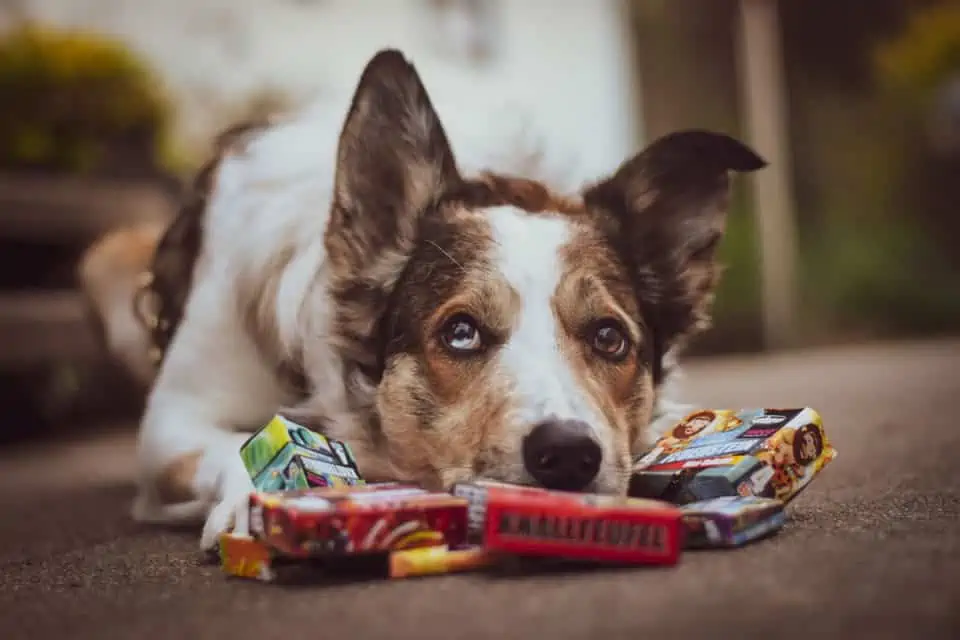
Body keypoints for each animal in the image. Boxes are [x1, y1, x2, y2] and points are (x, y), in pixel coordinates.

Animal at [77, 48, 764, 552]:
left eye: (608, 337)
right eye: (461, 332)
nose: (569, 455)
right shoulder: (172, 419)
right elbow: (230, 445)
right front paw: (256, 501)